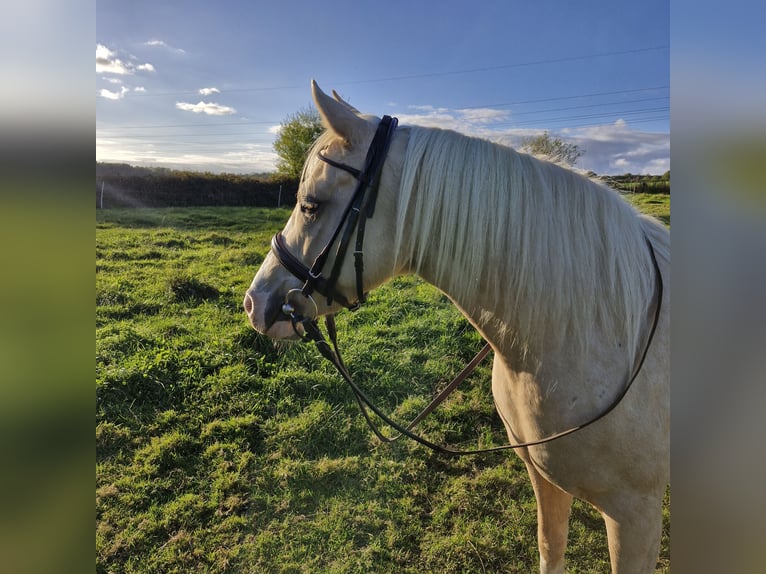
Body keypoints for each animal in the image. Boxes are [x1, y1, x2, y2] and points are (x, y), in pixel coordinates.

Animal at [246, 82, 672, 574]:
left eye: (311, 205)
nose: (255, 303)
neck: (588, 333)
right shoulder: (543, 476)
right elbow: (551, 546)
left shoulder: (635, 514)